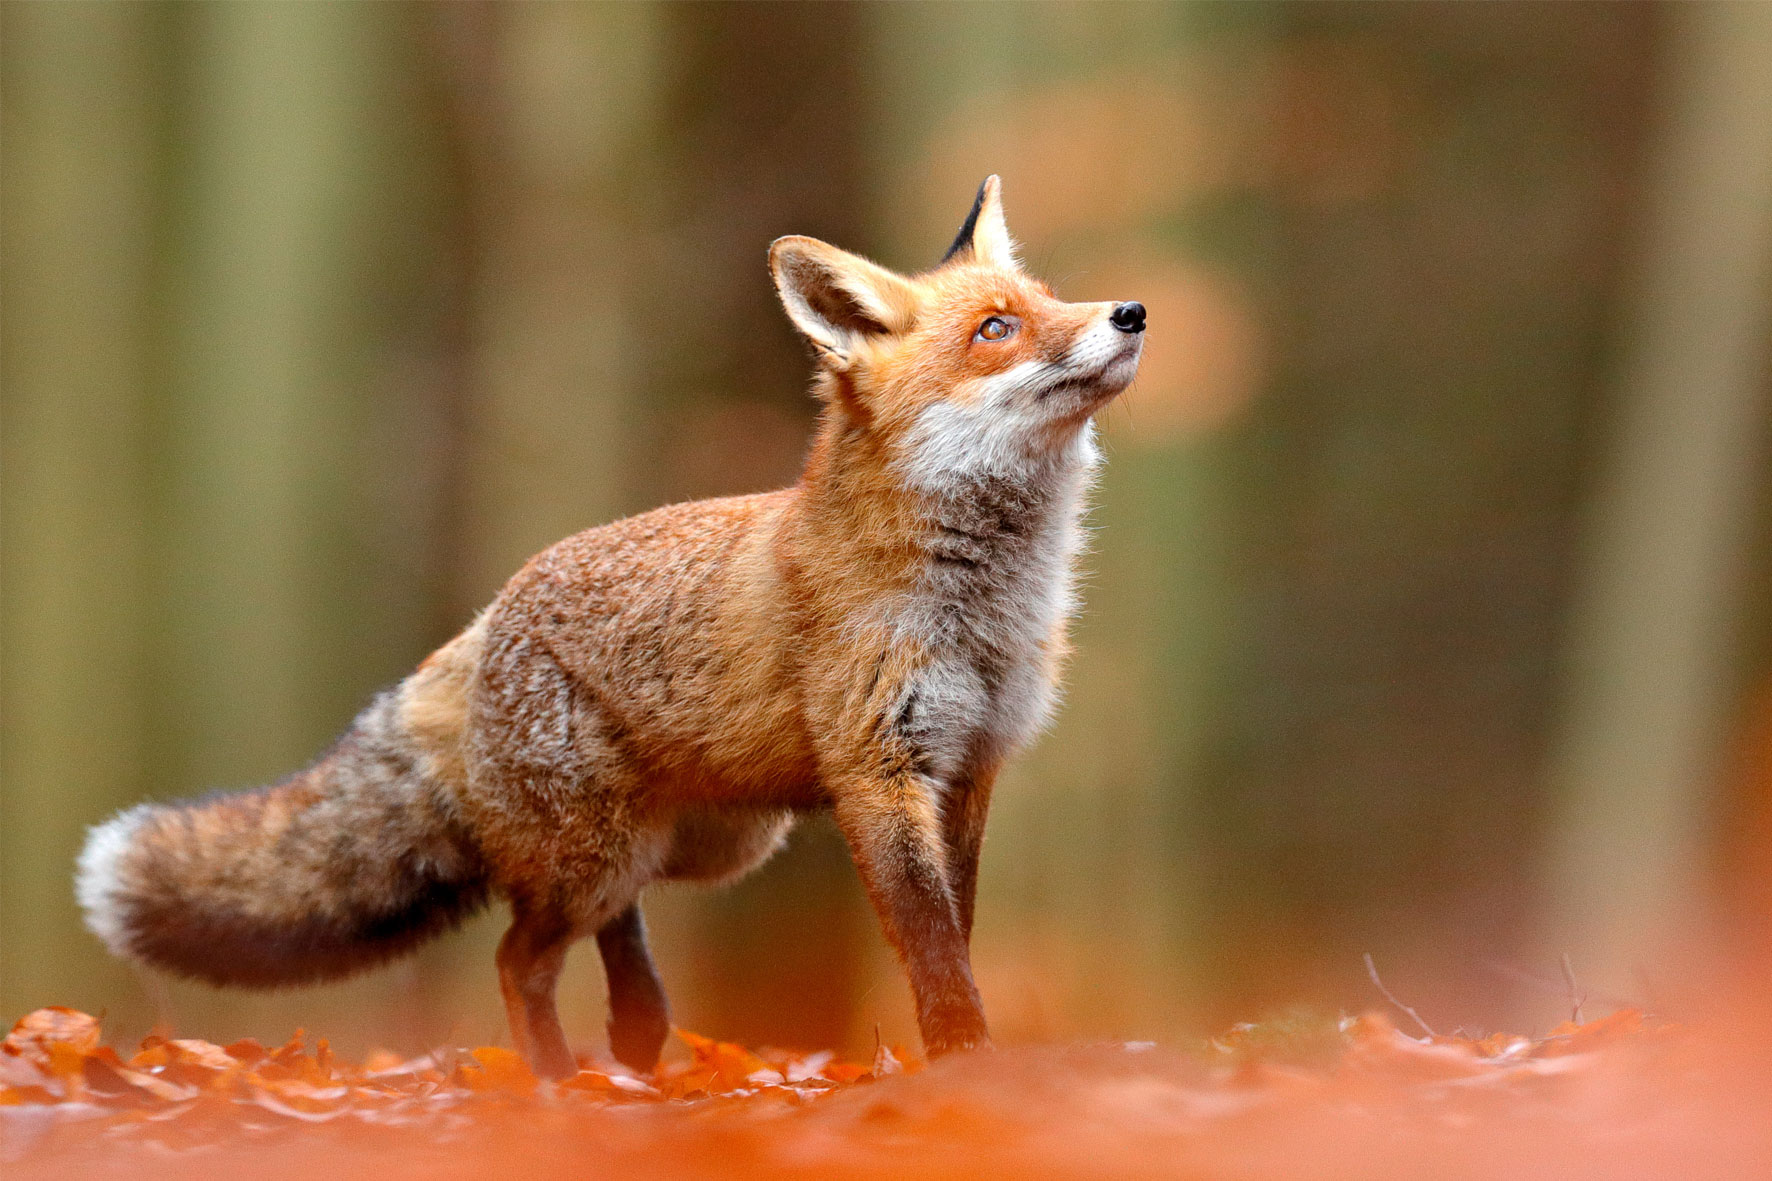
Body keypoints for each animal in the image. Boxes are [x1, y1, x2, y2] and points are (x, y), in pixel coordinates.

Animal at [76, 177, 1148, 1078]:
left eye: (1050, 300)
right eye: (996, 329)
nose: (1130, 312)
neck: (985, 607)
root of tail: (484, 620)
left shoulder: (970, 766)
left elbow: (955, 932)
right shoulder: (879, 771)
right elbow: (931, 949)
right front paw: (964, 1062)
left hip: (704, 841)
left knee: (610, 929)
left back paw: (636, 1034)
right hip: (602, 853)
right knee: (518, 957)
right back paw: (557, 1086)